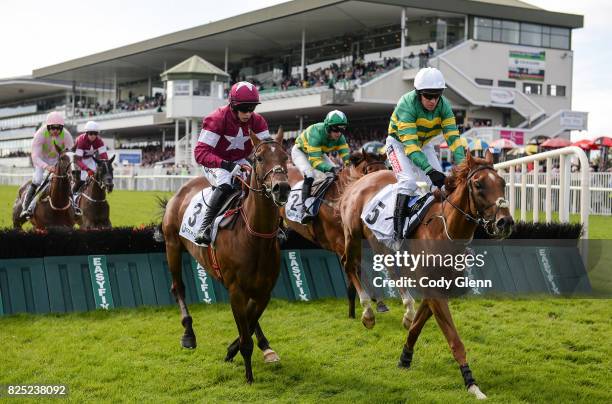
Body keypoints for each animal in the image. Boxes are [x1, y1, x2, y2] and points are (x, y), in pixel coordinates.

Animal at [159, 129, 290, 382]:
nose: (282, 188)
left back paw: (265, 346)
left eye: (285, 156)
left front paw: (234, 349)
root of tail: (181, 191)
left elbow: (249, 321)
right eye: (259, 158)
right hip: (172, 246)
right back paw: (188, 334)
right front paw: (248, 376)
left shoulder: (263, 292)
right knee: (177, 287)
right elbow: (246, 335)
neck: (253, 237)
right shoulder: (236, 290)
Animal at [338, 151, 512, 398]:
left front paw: (405, 357)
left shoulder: (438, 289)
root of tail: (359, 180)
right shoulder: (434, 291)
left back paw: (403, 308)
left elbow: (416, 326)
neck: (443, 230)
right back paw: (368, 312)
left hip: (378, 243)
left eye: (502, 183)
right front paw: (472, 383)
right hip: (352, 234)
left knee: (387, 269)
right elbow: (455, 340)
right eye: (478, 184)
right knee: (349, 264)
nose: (505, 222)